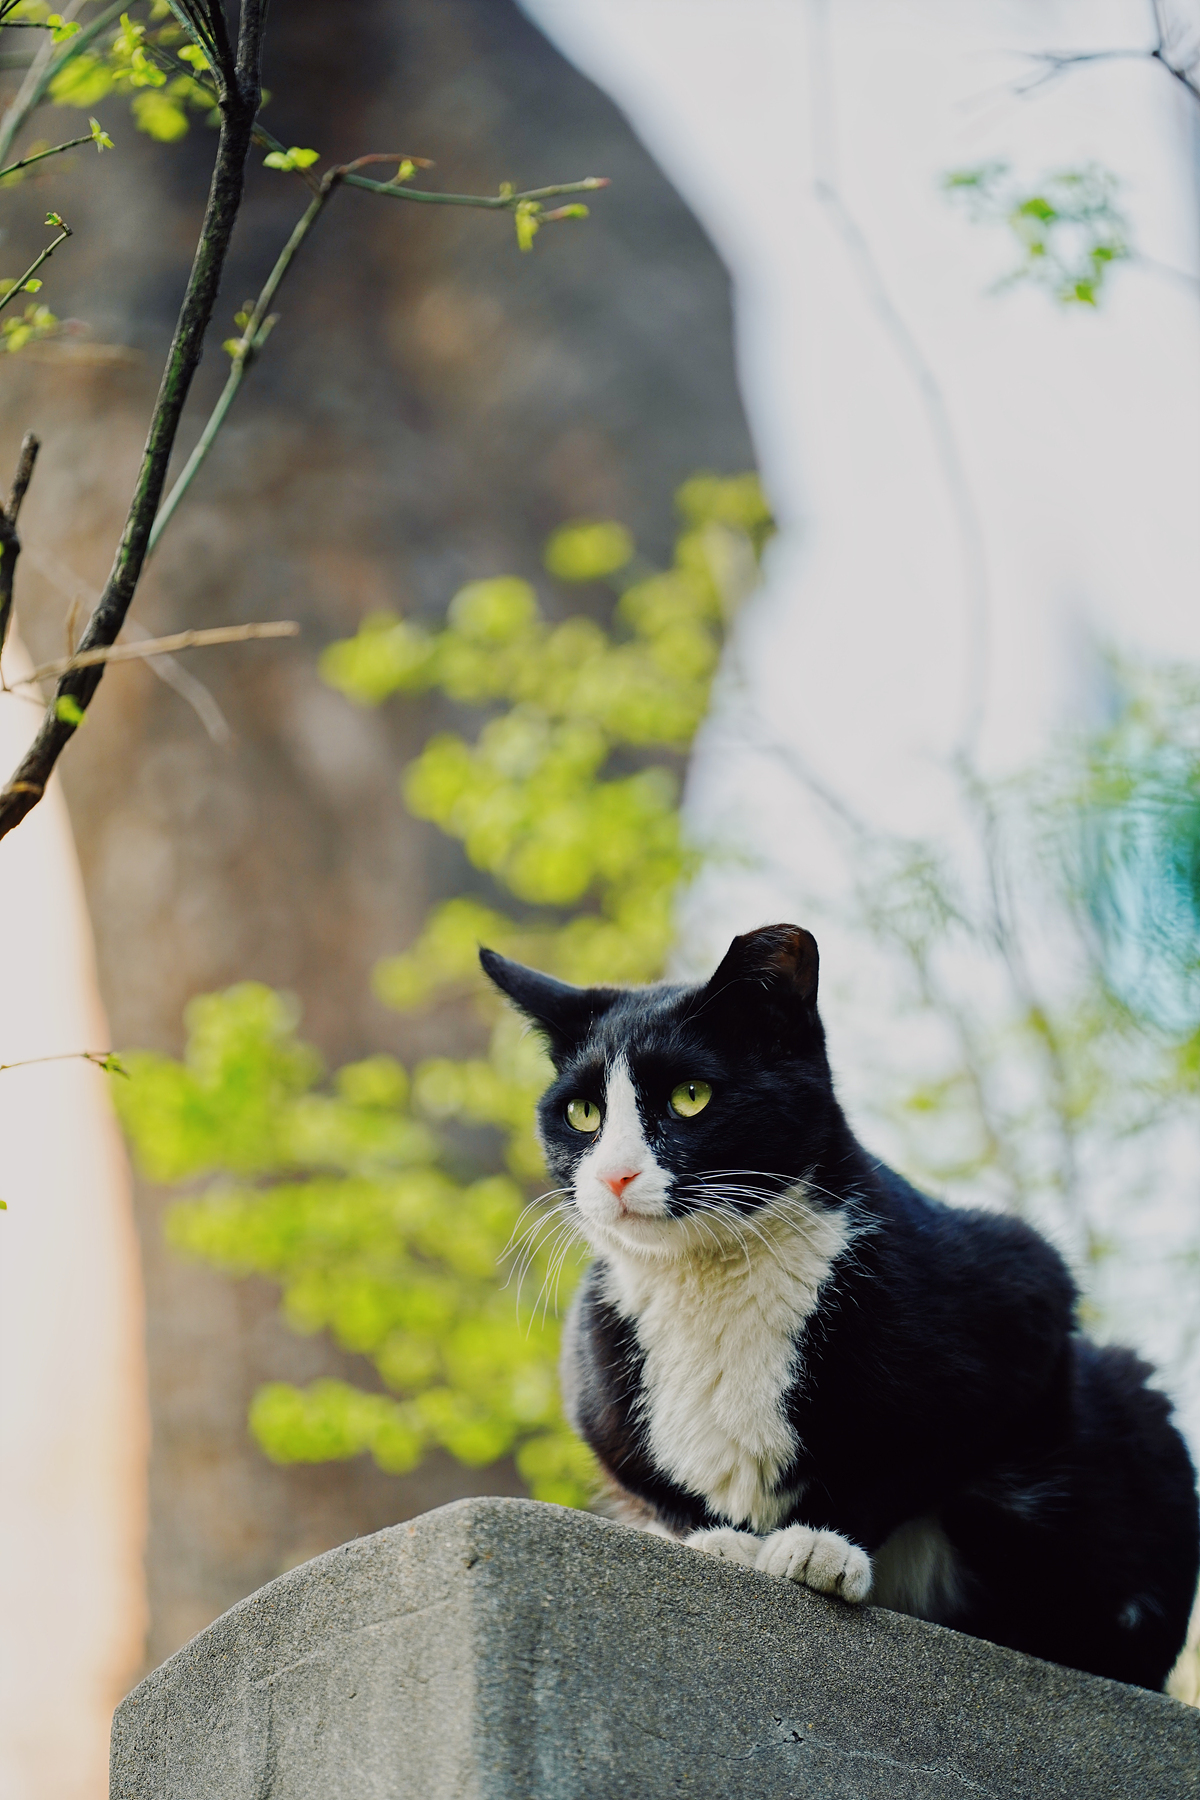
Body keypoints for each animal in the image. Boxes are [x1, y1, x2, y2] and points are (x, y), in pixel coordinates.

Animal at [482, 921, 1200, 1692]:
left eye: (691, 1096)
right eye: (582, 1112)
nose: (614, 1175)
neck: (708, 1280)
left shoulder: (1026, 1293)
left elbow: (905, 1462)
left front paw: (822, 1545)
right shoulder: (597, 1383)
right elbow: (658, 1486)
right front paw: (718, 1540)